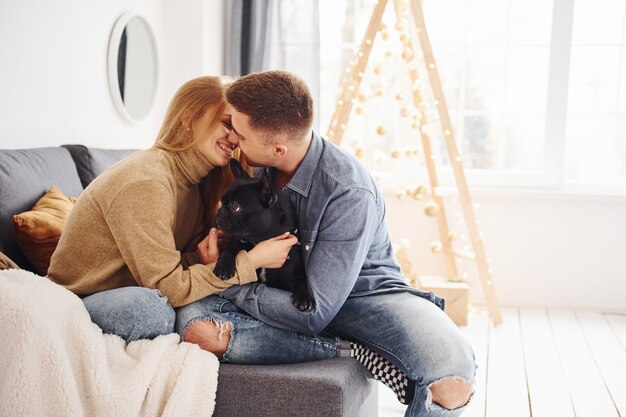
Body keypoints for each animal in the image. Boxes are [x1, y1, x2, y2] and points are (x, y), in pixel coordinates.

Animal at [214, 158, 314, 310]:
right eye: (221, 200)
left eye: (235, 206)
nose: (220, 211)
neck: (260, 240)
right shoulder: (240, 239)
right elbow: (231, 248)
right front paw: (224, 266)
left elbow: (301, 280)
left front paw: (305, 297)